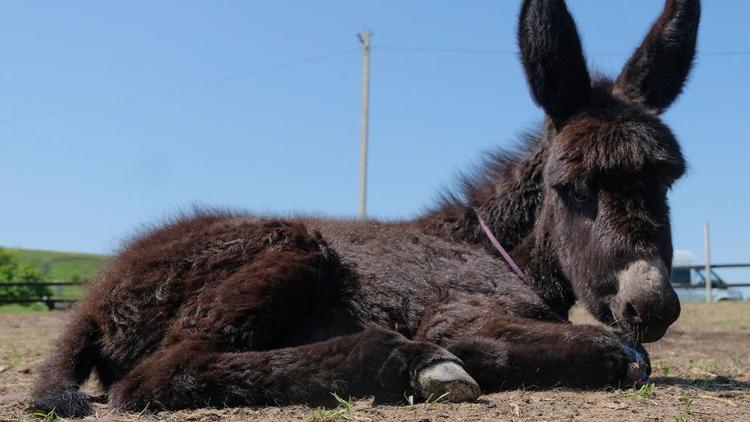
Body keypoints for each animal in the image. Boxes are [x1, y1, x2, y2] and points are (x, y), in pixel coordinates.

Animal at [30, 0, 700, 416]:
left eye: (669, 181)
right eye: (574, 187)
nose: (652, 305)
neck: (489, 247)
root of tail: (98, 294)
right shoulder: (458, 313)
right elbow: (621, 354)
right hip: (289, 246)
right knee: (157, 376)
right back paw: (413, 362)